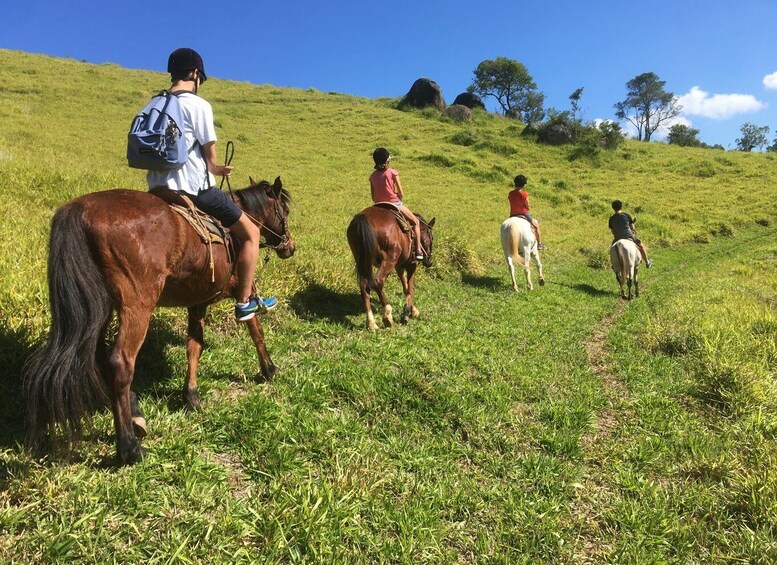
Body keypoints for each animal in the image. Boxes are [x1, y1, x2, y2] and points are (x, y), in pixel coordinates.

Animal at [22, 176, 294, 462]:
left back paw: (135, 414)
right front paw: (269, 369)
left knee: (97, 354)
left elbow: (194, 346)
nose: (290, 246)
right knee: (120, 363)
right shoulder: (245, 290)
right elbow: (255, 329)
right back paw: (129, 447)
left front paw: (191, 396)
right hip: (138, 306)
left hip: (99, 304)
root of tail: (80, 208)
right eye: (284, 211)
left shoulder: (197, 303)